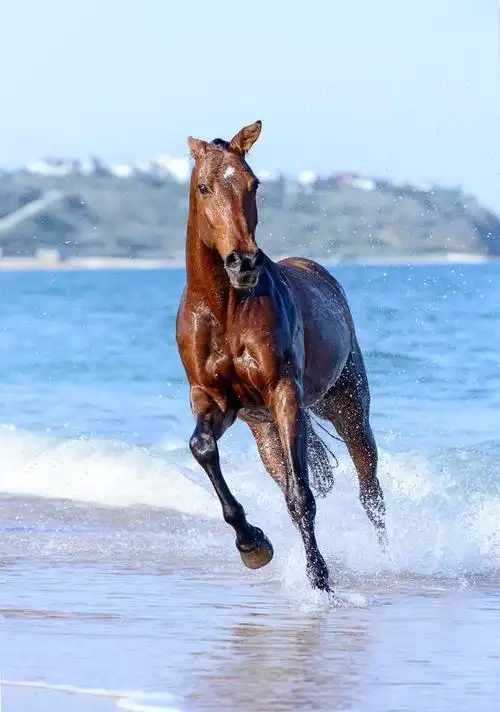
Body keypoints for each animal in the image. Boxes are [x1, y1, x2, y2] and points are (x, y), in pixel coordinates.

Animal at [175, 121, 386, 592]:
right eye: (203, 187)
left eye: (253, 183)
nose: (243, 262)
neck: (225, 309)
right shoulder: (213, 400)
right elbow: (202, 448)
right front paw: (252, 545)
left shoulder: (284, 393)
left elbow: (301, 493)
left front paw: (320, 580)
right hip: (264, 431)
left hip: (347, 408)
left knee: (370, 492)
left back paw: (387, 558)